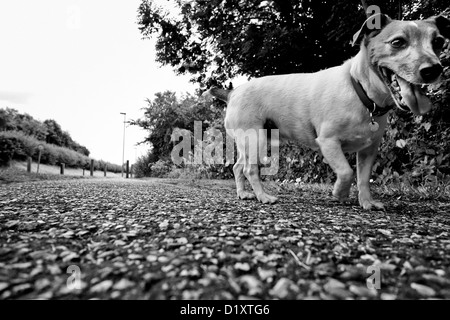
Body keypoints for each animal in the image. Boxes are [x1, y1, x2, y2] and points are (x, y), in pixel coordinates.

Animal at [205, 13, 450, 210]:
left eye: (438, 42)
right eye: (398, 42)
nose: (434, 69)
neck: (360, 91)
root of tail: (233, 92)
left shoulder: (368, 150)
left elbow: (363, 179)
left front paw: (367, 202)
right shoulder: (329, 142)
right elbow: (346, 172)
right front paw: (339, 193)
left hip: (250, 141)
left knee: (238, 167)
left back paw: (243, 194)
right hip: (255, 139)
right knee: (249, 170)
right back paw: (263, 197)